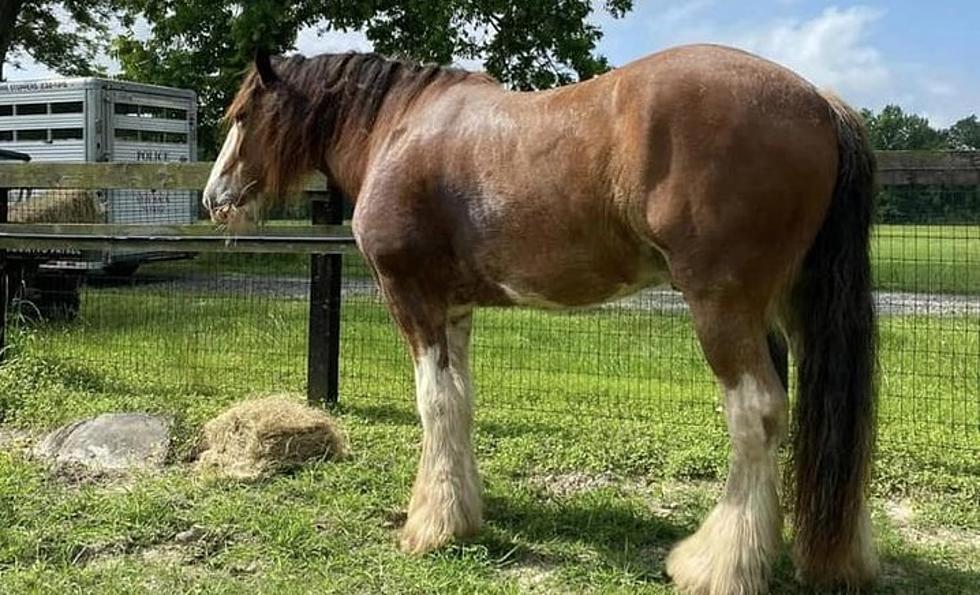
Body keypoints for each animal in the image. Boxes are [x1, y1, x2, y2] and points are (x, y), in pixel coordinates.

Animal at [203, 45, 876, 595]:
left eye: (243, 115)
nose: (215, 197)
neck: (400, 128)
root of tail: (819, 102)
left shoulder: (412, 298)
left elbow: (434, 404)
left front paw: (430, 528)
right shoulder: (455, 308)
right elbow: (460, 402)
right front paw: (461, 514)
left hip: (723, 308)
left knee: (757, 414)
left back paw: (717, 567)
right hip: (790, 309)